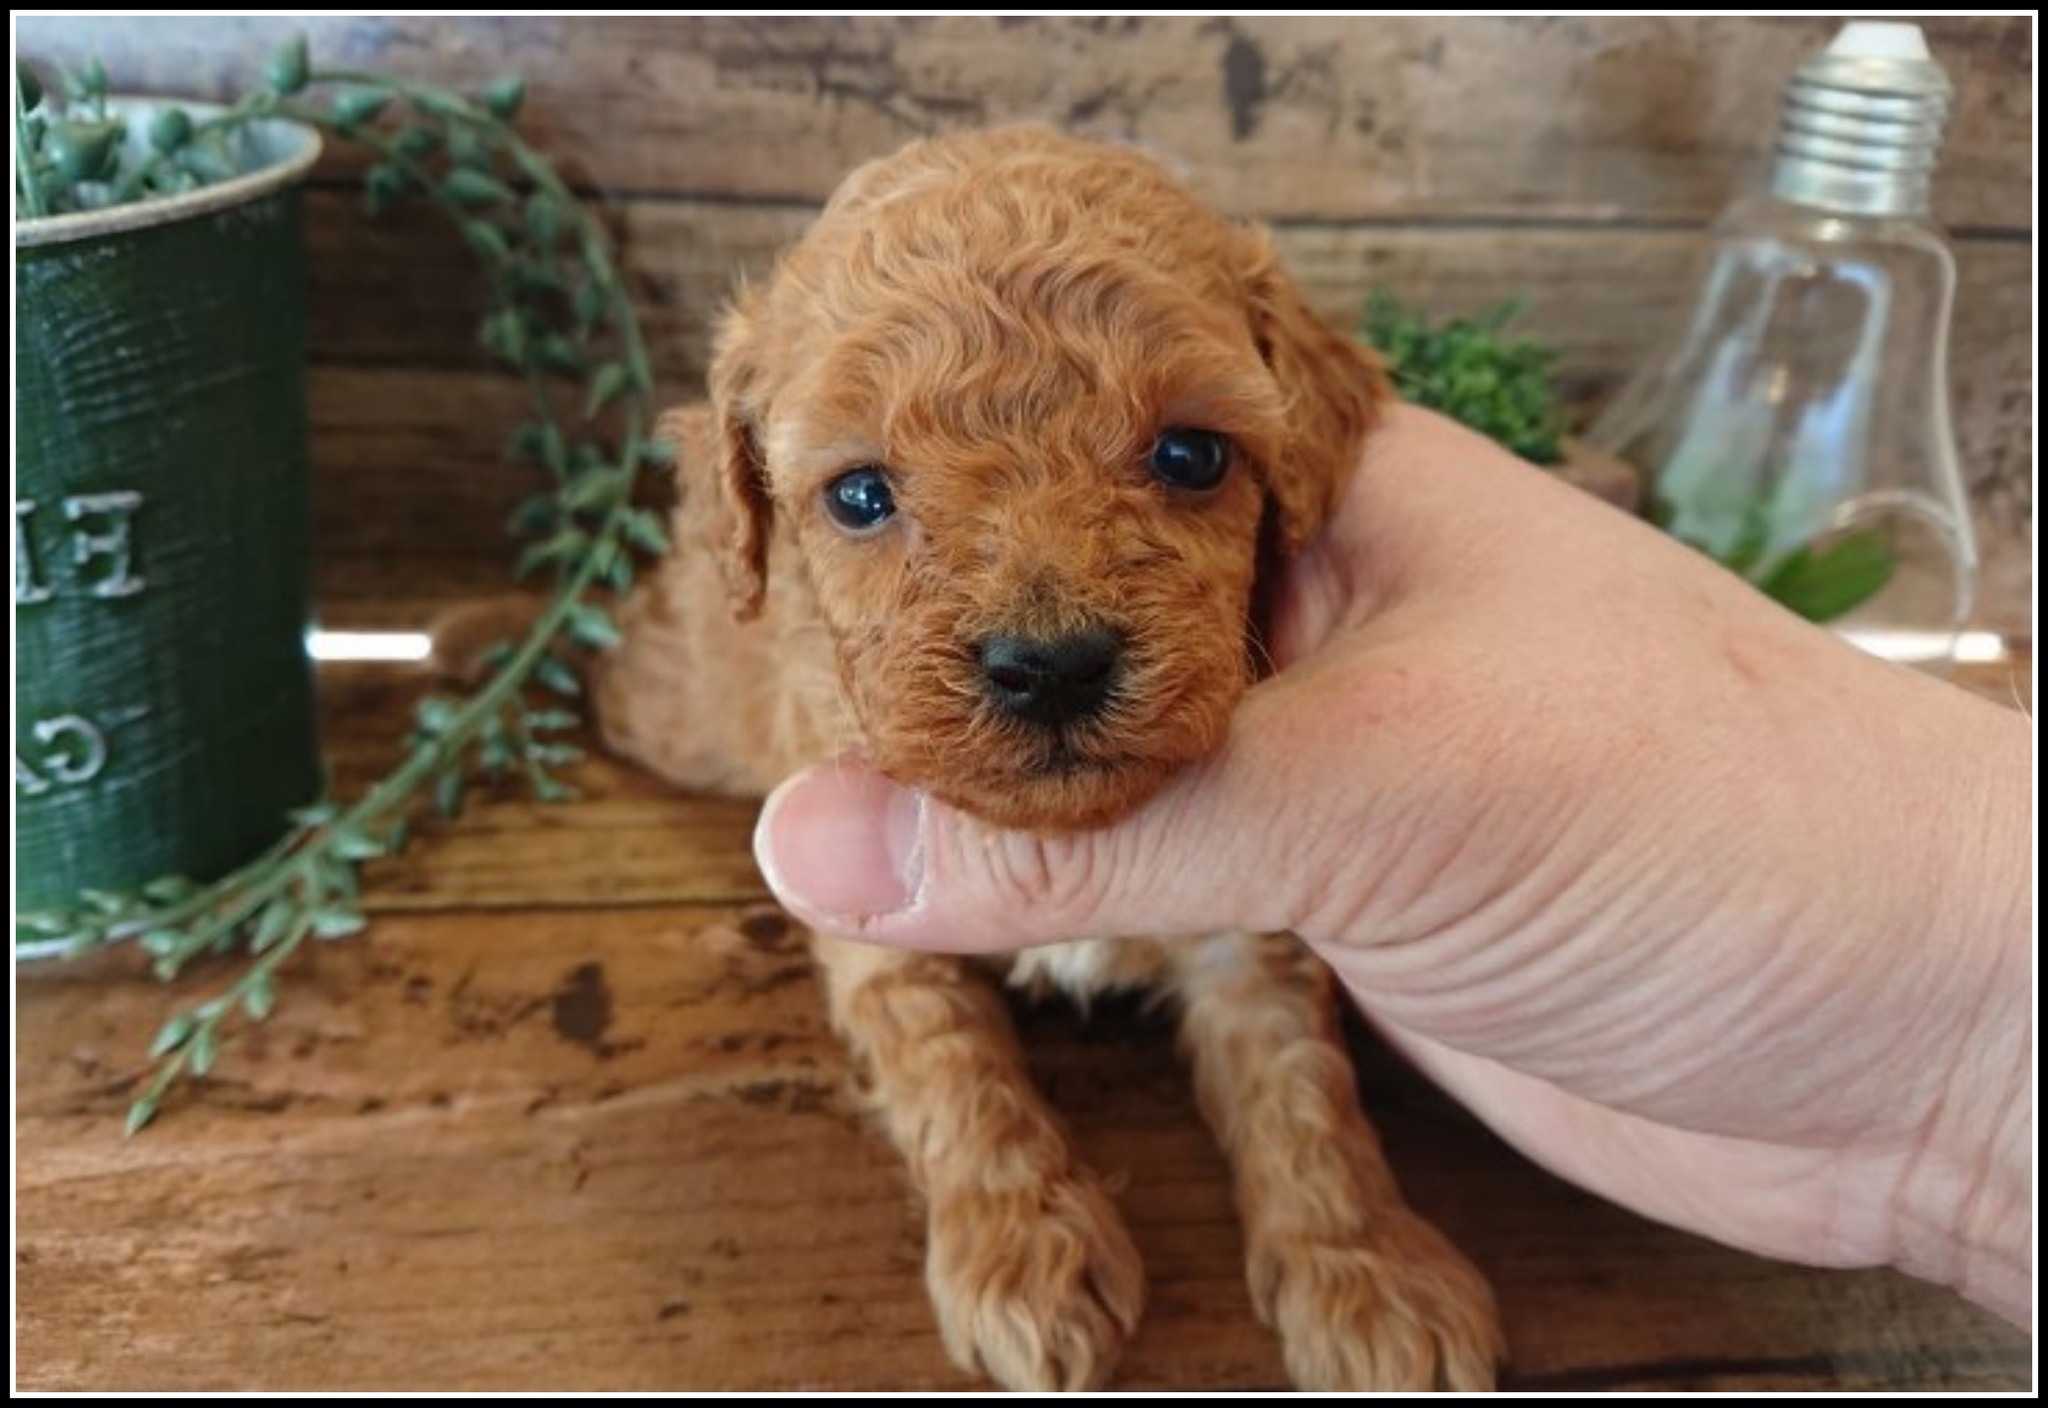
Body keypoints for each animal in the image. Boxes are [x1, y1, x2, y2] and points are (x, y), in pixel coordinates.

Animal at [595, 127, 1501, 1391]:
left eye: (1191, 453)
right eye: (858, 494)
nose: (1051, 665)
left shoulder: (1248, 932)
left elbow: (1297, 1084)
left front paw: (1366, 1267)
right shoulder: (873, 924)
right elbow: (948, 1062)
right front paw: (1022, 1252)